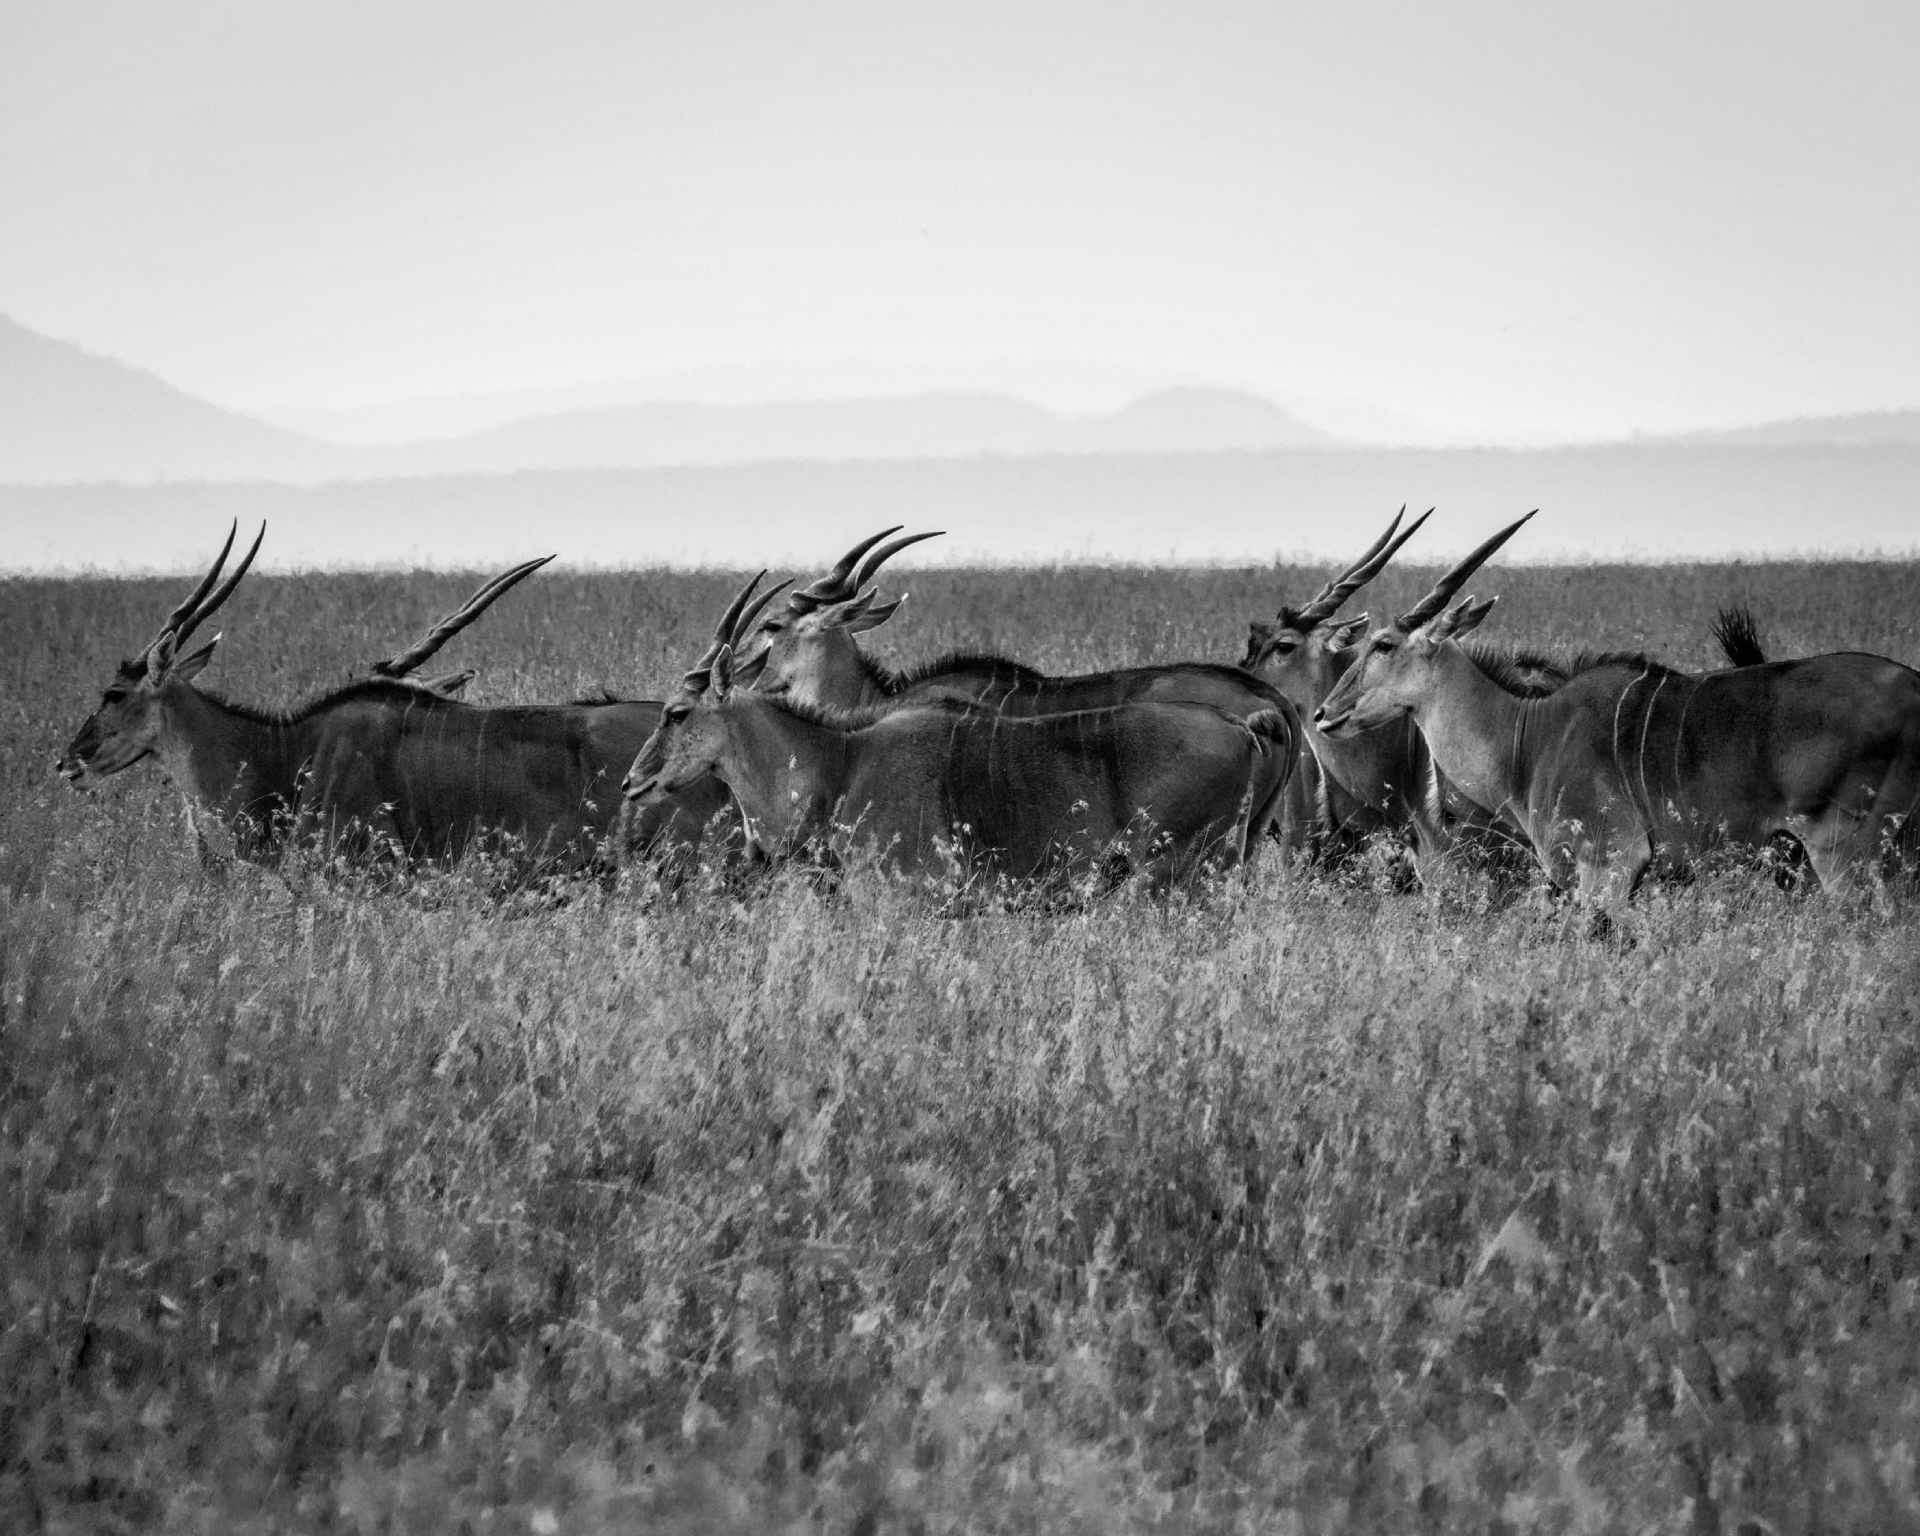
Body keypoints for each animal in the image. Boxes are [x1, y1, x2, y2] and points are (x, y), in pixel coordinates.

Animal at [1313, 514, 1920, 906]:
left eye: (1383, 645)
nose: (1323, 713)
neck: (1528, 737)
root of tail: (1913, 685)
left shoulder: (1608, 865)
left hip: (1846, 853)